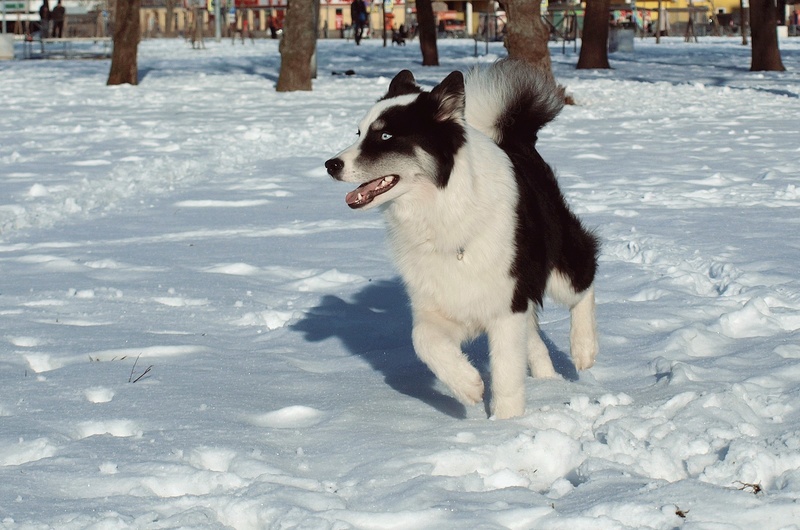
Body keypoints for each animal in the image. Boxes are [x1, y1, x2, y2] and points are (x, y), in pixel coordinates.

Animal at [326, 60, 600, 416]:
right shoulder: (444, 303)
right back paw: (549, 381)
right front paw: (468, 385)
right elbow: (422, 340)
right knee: (534, 334)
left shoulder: (505, 305)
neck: (441, 208)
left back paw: (584, 350)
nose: (331, 164)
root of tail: (516, 141)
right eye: (359, 133)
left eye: (386, 135)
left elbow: (506, 375)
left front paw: (507, 422)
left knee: (585, 274)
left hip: (556, 261)